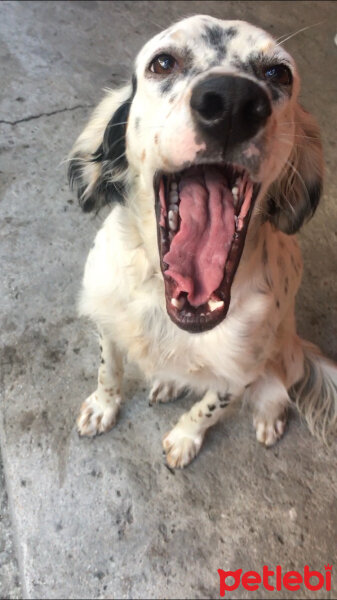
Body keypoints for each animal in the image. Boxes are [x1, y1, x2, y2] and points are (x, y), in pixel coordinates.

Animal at [67, 12, 334, 464]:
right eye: (162, 63)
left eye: (277, 73)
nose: (232, 103)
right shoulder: (109, 321)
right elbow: (109, 370)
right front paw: (103, 407)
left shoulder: (239, 372)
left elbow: (207, 409)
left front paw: (184, 438)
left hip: (282, 356)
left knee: (278, 390)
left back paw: (269, 417)